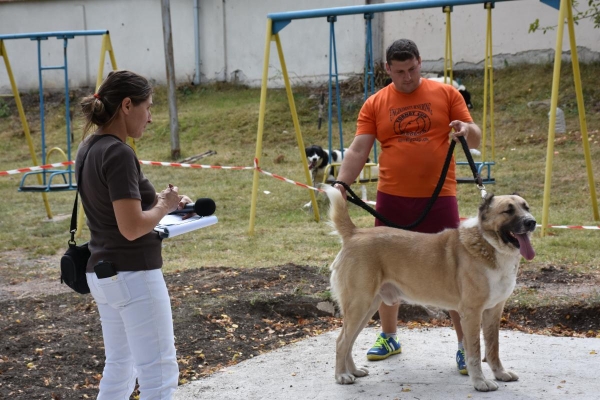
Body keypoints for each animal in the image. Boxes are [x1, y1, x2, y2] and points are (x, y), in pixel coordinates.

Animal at [326, 186, 536, 392]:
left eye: (526, 207)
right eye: (508, 210)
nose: (532, 222)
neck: (488, 244)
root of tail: (355, 233)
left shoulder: (494, 311)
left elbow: (493, 347)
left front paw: (500, 373)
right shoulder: (472, 313)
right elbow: (475, 352)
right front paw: (479, 382)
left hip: (367, 308)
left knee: (349, 341)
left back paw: (354, 371)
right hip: (359, 305)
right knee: (341, 341)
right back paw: (342, 375)